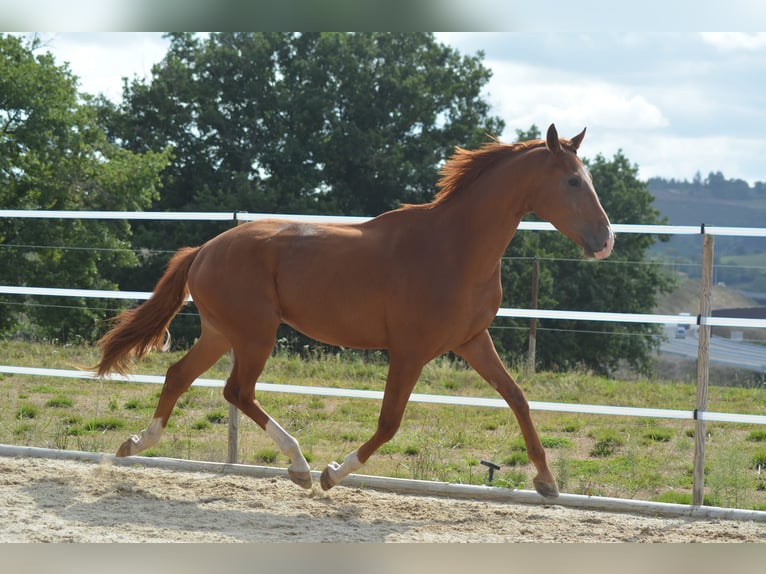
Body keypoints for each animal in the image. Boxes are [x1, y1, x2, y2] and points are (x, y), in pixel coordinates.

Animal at [96, 126, 616, 500]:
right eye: (573, 181)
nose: (606, 240)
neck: (455, 248)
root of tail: (204, 249)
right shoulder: (409, 351)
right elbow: (389, 423)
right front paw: (332, 474)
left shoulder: (472, 341)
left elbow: (518, 399)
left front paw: (547, 483)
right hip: (255, 335)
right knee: (236, 390)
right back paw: (301, 468)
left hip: (223, 333)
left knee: (180, 376)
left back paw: (134, 445)